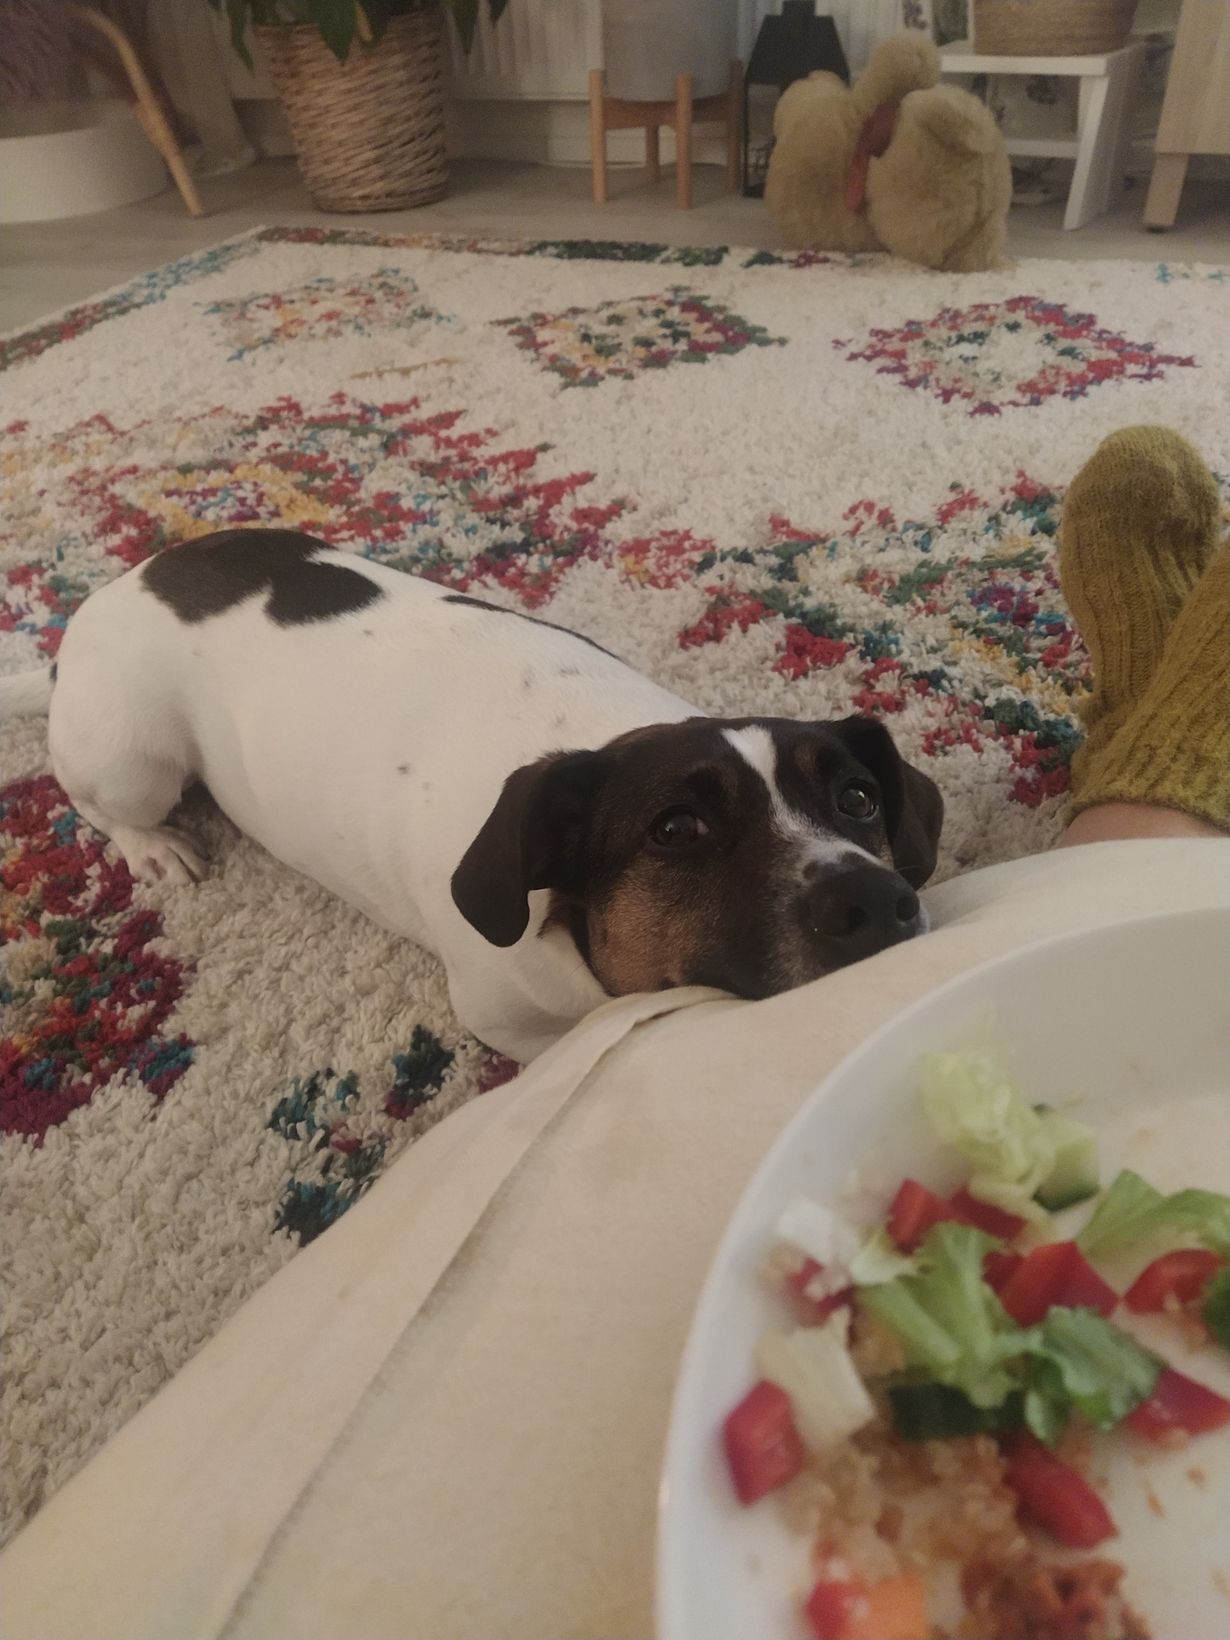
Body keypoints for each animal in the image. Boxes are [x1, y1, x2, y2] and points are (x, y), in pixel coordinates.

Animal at [2, 530, 943, 1061]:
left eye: (859, 798)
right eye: (676, 828)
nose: (875, 899)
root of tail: (94, 611)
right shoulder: (517, 1025)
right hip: (134, 757)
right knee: (99, 798)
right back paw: (152, 845)